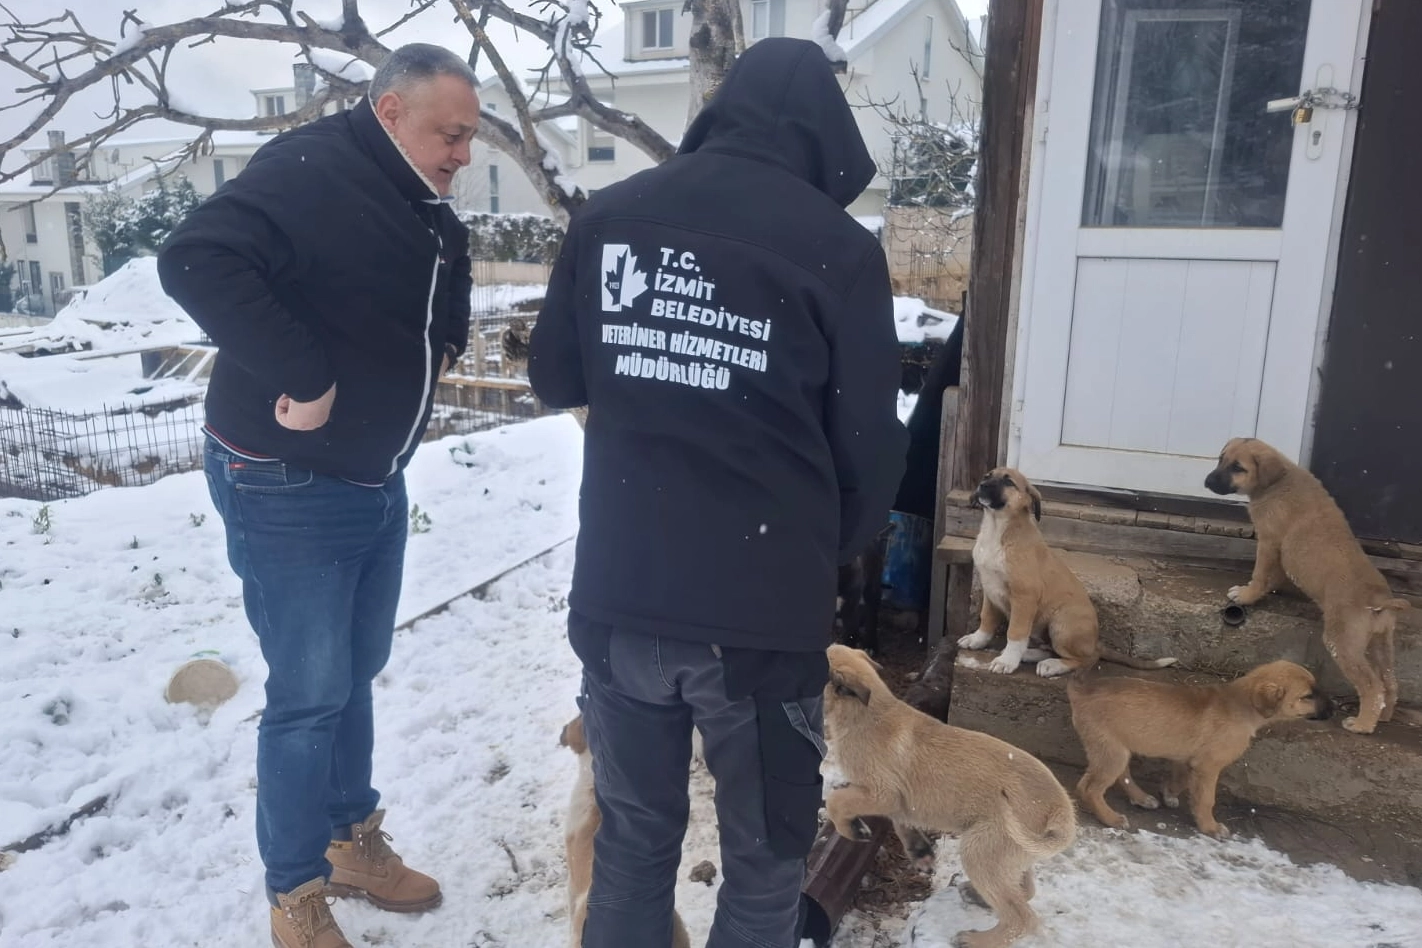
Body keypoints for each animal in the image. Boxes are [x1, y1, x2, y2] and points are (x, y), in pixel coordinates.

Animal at [824, 645, 1075, 948]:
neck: (866, 711)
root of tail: (1062, 812)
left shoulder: (882, 792)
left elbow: (836, 801)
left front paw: (852, 829)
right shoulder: (897, 800)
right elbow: (899, 822)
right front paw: (919, 851)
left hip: (981, 849)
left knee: (1021, 916)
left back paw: (976, 939)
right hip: (1013, 853)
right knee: (1024, 890)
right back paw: (977, 896)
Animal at [955, 471, 1177, 679]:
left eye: (1008, 482)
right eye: (987, 476)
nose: (982, 485)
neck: (997, 529)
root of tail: (1095, 643)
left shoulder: (1024, 597)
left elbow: (1015, 632)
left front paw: (1007, 661)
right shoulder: (990, 589)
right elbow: (986, 619)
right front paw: (976, 639)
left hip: (1062, 623)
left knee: (1086, 658)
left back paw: (1052, 665)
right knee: (1052, 649)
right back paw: (1030, 654)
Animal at [1200, 437, 1410, 733]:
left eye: (1238, 467)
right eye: (1221, 459)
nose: (1207, 481)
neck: (1279, 480)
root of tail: (1381, 600)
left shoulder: (1269, 541)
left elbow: (1260, 573)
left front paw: (1247, 594)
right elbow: (1273, 576)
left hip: (1343, 642)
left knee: (1373, 686)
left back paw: (1362, 724)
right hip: (1380, 644)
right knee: (1390, 683)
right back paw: (1384, 716)